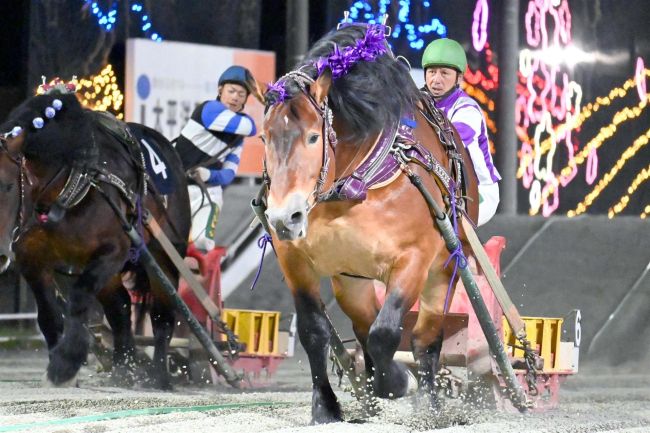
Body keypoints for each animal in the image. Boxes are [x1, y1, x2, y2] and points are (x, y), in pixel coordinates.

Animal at [0, 91, 190, 388]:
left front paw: (65, 364)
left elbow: (79, 300)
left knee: (162, 316)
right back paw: (124, 368)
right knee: (120, 307)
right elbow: (49, 315)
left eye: (8, 186)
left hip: (166, 256)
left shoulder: (112, 251)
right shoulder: (32, 258)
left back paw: (160, 376)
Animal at [256, 24, 478, 422]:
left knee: (425, 339)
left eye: (313, 136)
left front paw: (398, 382)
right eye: (264, 137)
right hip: (352, 279)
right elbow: (314, 332)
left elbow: (387, 333)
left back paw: (429, 405)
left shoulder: (413, 259)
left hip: (445, 268)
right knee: (363, 326)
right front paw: (326, 407)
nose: (284, 218)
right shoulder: (294, 260)